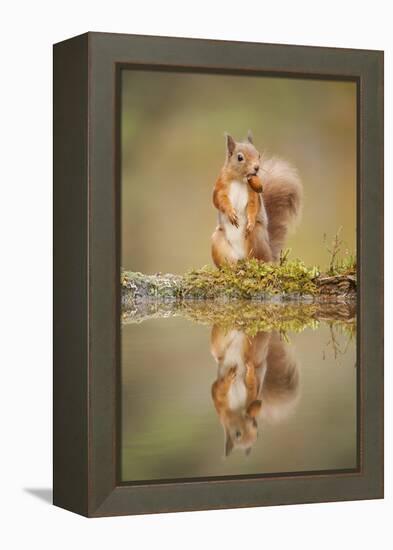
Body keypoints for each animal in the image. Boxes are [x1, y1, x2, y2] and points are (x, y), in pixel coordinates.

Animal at [211, 130, 300, 266]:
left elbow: (253, 206)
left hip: (256, 236)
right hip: (218, 241)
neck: (240, 179)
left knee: (259, 258)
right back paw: (232, 266)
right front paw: (231, 213)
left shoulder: (253, 194)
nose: (257, 168)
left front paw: (251, 220)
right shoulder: (220, 185)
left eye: (258, 155)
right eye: (240, 157)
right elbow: (218, 200)